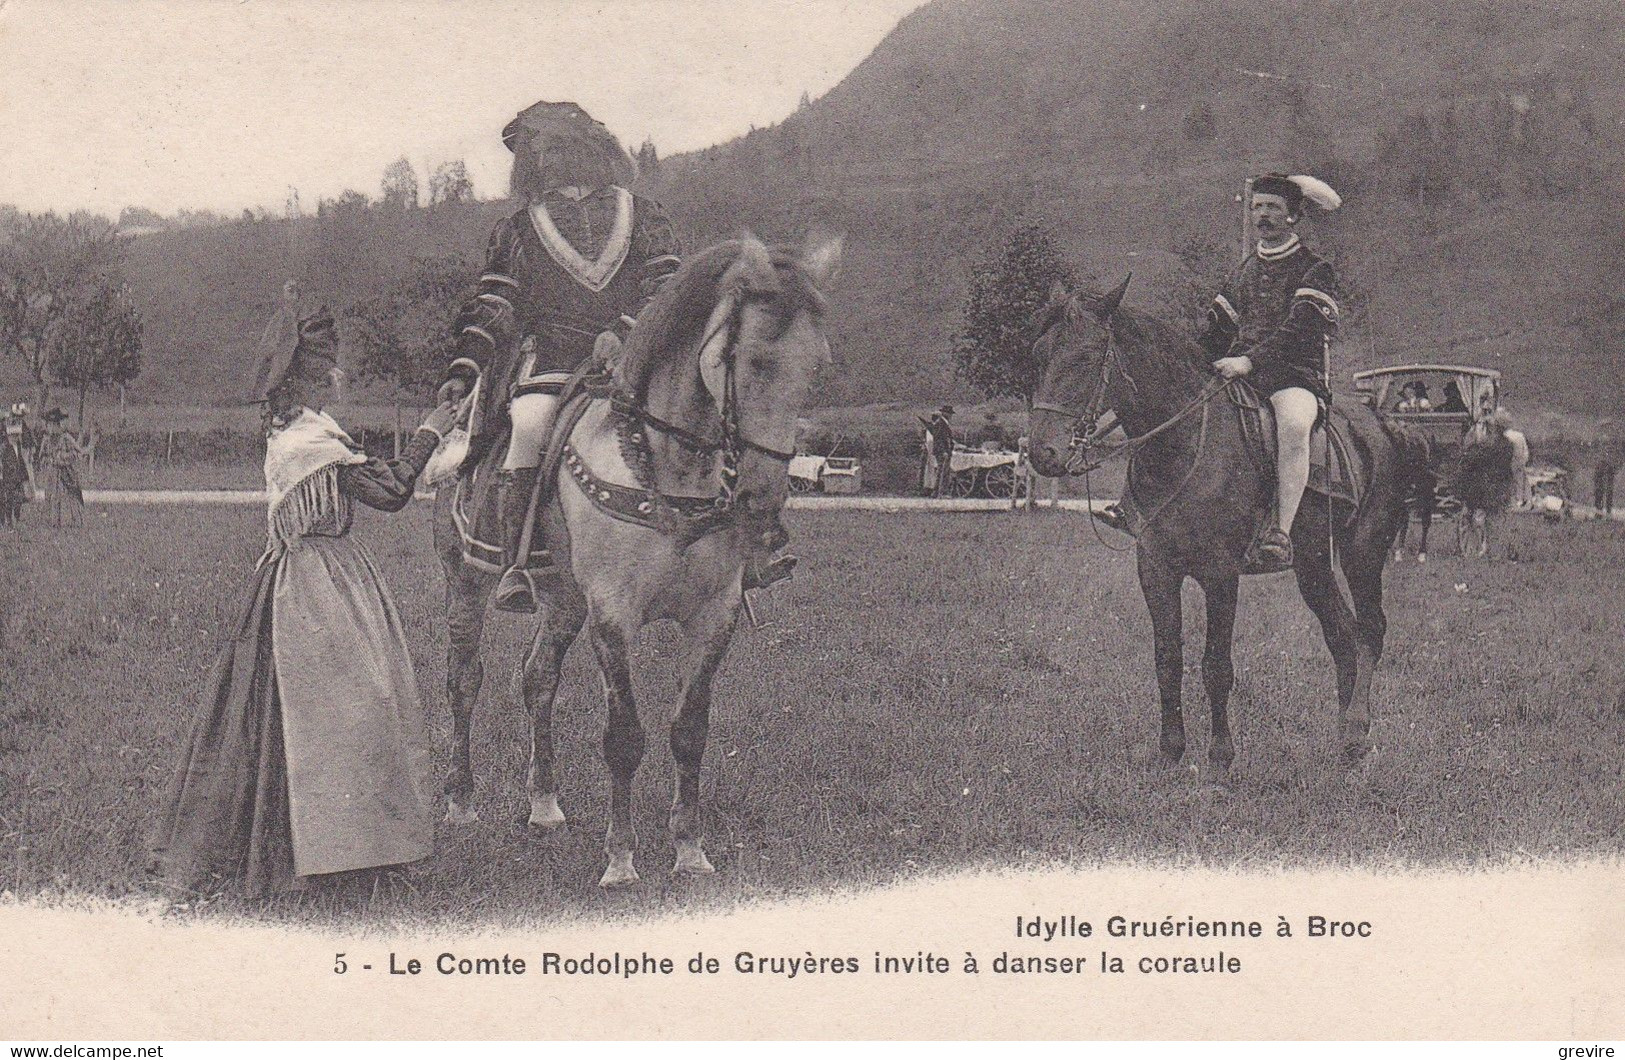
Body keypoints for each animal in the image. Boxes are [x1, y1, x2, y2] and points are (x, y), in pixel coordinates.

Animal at [435, 234, 838, 884]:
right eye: (752, 362)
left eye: (815, 368)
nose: (763, 498)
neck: (664, 472)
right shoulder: (613, 615)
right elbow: (623, 735)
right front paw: (621, 861)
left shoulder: (712, 616)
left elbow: (689, 731)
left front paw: (690, 851)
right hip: (466, 583)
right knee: (464, 680)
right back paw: (462, 802)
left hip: (562, 600)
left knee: (537, 678)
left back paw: (544, 805)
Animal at [1027, 278, 1423, 767]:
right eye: (1038, 355)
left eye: (1084, 358)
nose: (1041, 453)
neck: (1182, 447)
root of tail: (1384, 426)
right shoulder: (1155, 570)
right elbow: (1166, 659)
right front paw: (1171, 751)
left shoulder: (1220, 575)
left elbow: (1216, 665)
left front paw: (1220, 756)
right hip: (1313, 564)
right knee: (1342, 635)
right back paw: (1346, 740)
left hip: (1362, 552)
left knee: (1369, 630)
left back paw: (1355, 730)